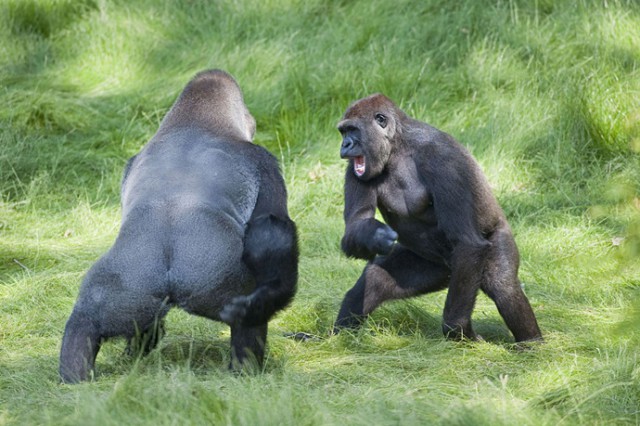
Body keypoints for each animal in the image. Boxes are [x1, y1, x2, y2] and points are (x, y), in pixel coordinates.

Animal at [58, 70, 298, 382]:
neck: (194, 121)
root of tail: (169, 277)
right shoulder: (264, 162)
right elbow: (271, 226)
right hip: (219, 280)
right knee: (249, 318)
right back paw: (246, 370)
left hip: (128, 286)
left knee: (86, 319)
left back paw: (78, 373)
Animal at [336, 93, 540, 342]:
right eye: (343, 132)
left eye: (353, 130)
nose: (345, 145)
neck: (397, 146)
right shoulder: (356, 167)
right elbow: (357, 225)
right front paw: (374, 236)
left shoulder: (443, 160)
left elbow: (467, 241)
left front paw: (458, 328)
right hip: (439, 268)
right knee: (375, 279)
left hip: (492, 243)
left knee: (504, 286)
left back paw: (532, 343)